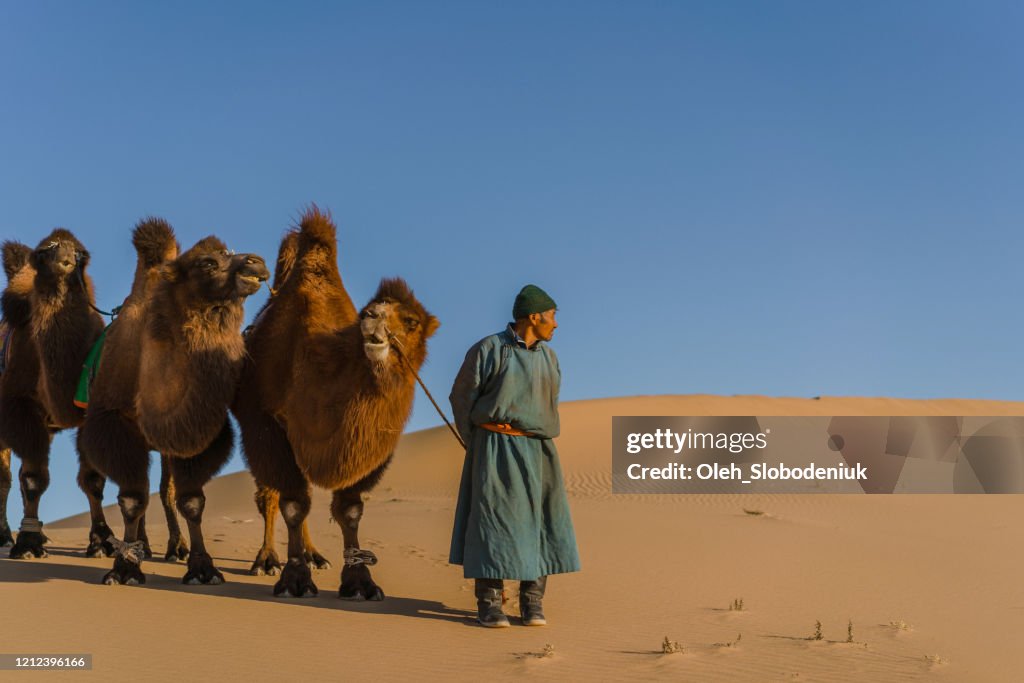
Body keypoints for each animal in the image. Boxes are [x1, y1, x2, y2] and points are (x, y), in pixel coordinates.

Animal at [0, 232, 120, 557]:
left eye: (80, 253)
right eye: (45, 251)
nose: (65, 255)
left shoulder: (87, 411)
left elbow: (93, 479)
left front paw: (102, 540)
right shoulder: (22, 408)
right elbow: (32, 478)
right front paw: (27, 543)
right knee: (5, 477)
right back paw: (5, 536)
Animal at [77, 216, 268, 585]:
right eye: (207, 262)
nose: (256, 262)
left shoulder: (193, 432)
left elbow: (190, 500)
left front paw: (202, 567)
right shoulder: (114, 423)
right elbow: (132, 499)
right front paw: (124, 569)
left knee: (163, 490)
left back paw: (167, 547)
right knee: (94, 481)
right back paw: (102, 544)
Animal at [234, 208, 438, 598]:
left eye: (410, 320)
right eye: (366, 312)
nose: (372, 318)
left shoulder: (364, 448)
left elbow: (349, 510)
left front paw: (360, 582)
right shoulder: (265, 424)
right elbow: (292, 504)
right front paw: (294, 579)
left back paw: (314, 554)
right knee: (270, 496)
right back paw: (267, 560)